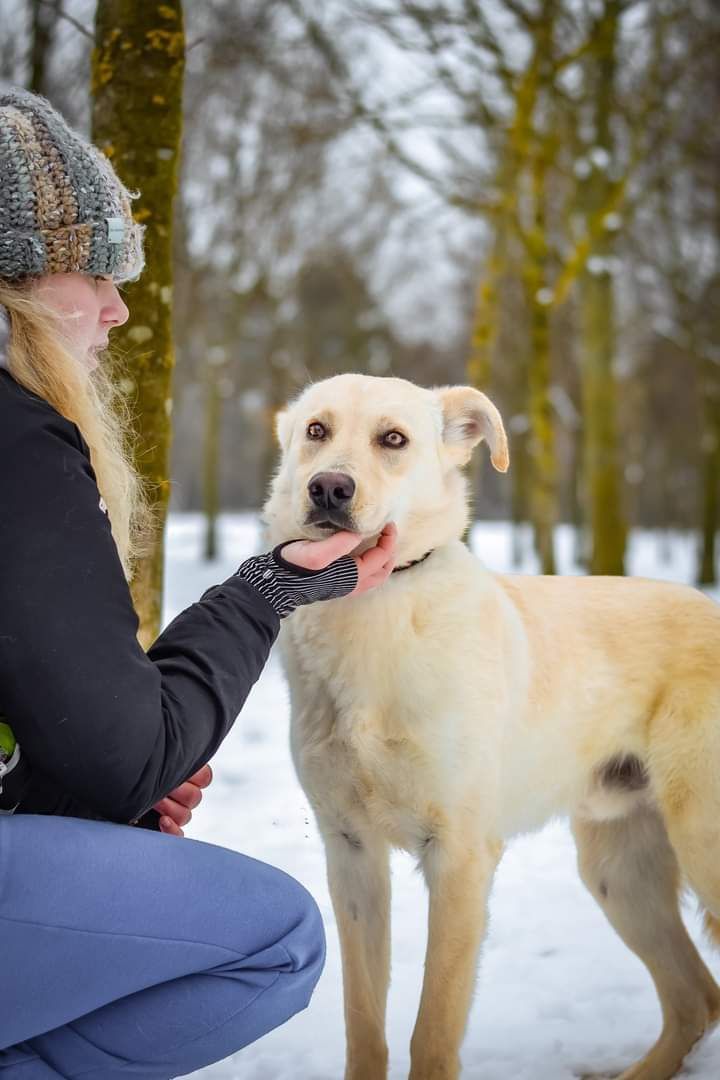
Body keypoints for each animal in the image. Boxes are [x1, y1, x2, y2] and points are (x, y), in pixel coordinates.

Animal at [263, 373, 720, 1080]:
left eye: (392, 439)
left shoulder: (460, 856)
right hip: (619, 871)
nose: (329, 488)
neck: (374, 615)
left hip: (701, 839)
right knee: (695, 997)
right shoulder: (352, 855)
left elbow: (433, 1031)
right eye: (316, 430)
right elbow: (365, 1026)